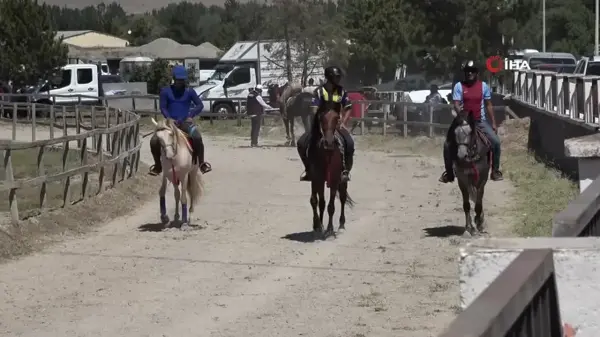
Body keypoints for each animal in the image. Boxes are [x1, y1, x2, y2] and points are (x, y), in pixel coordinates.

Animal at [308, 107, 354, 236]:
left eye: (336, 119)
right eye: (321, 118)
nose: (328, 142)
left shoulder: (334, 180)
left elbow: (331, 206)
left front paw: (329, 229)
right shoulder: (316, 179)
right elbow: (316, 201)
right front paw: (318, 226)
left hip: (343, 180)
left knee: (342, 198)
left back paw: (341, 225)